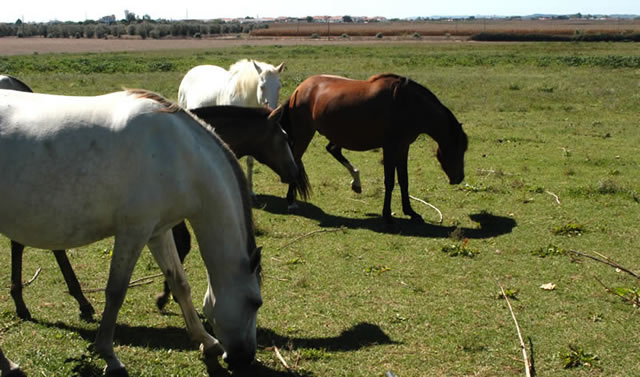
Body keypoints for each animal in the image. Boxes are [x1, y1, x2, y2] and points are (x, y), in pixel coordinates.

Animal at [0, 87, 262, 374]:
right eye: (255, 302)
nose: (245, 358)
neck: (179, 154)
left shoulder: (158, 232)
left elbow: (180, 283)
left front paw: (206, 341)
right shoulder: (133, 232)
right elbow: (116, 292)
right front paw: (109, 356)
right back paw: (8, 364)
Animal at [272, 73, 468, 223]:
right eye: (458, 148)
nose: (459, 178)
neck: (407, 104)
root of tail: (299, 89)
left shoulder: (403, 147)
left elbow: (404, 180)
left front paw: (411, 212)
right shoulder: (390, 147)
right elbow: (389, 181)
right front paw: (387, 215)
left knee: (333, 150)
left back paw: (356, 181)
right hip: (305, 133)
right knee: (296, 160)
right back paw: (291, 200)